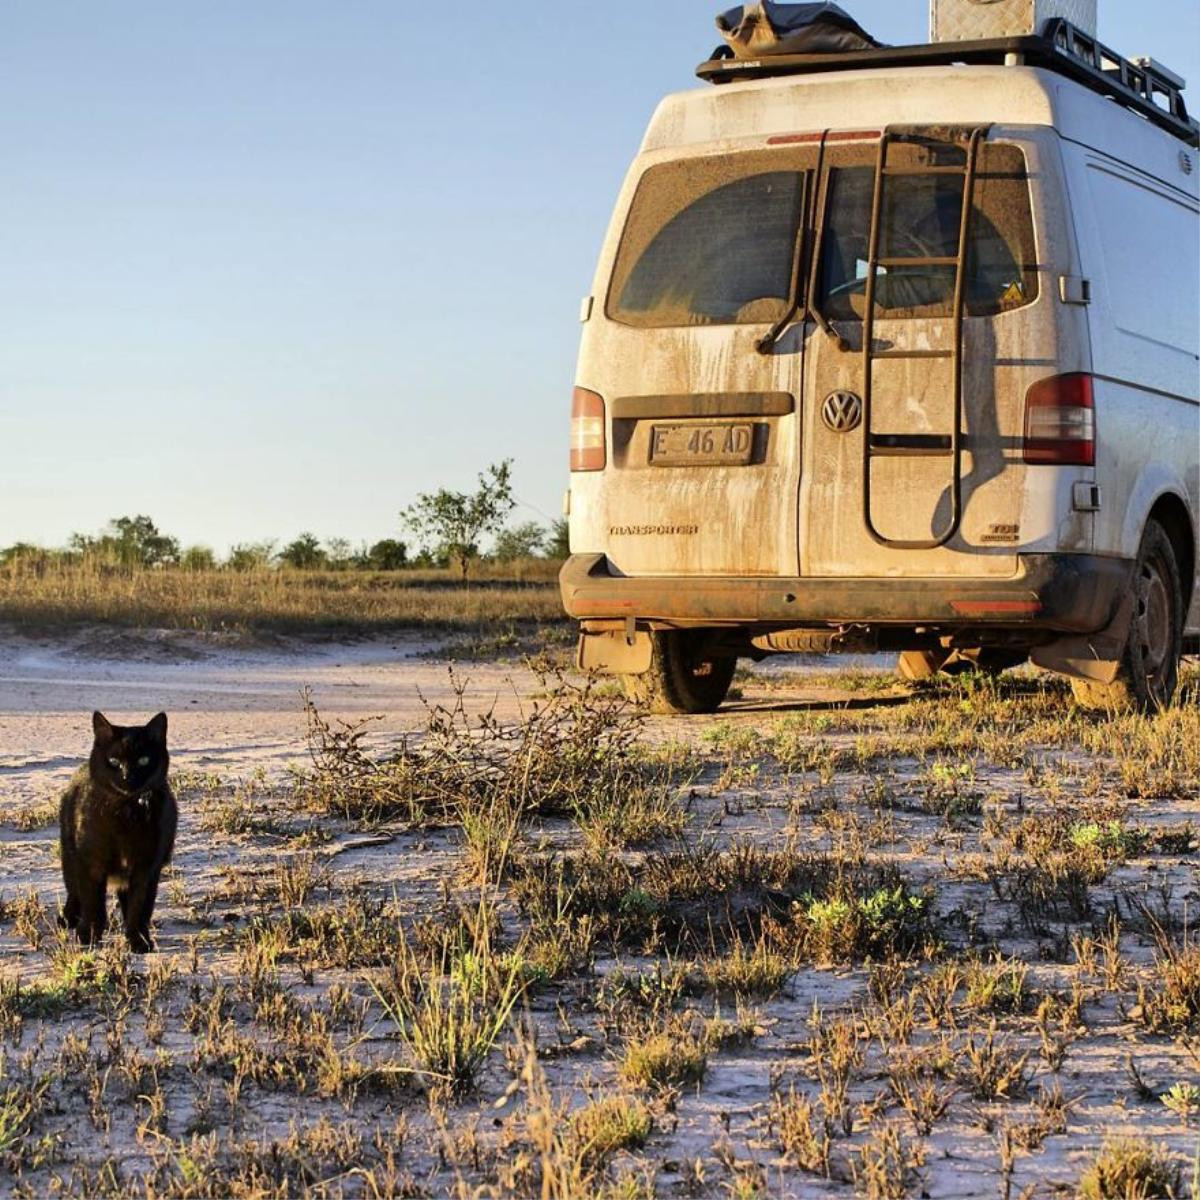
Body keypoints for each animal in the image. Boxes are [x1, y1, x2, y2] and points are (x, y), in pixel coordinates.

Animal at [60, 710, 177, 955]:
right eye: (114, 761)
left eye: (143, 760)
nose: (127, 776)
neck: (125, 811)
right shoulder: (90, 864)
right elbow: (92, 903)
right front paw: (88, 937)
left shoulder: (146, 868)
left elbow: (138, 908)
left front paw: (138, 941)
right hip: (70, 855)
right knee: (74, 890)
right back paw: (68, 918)